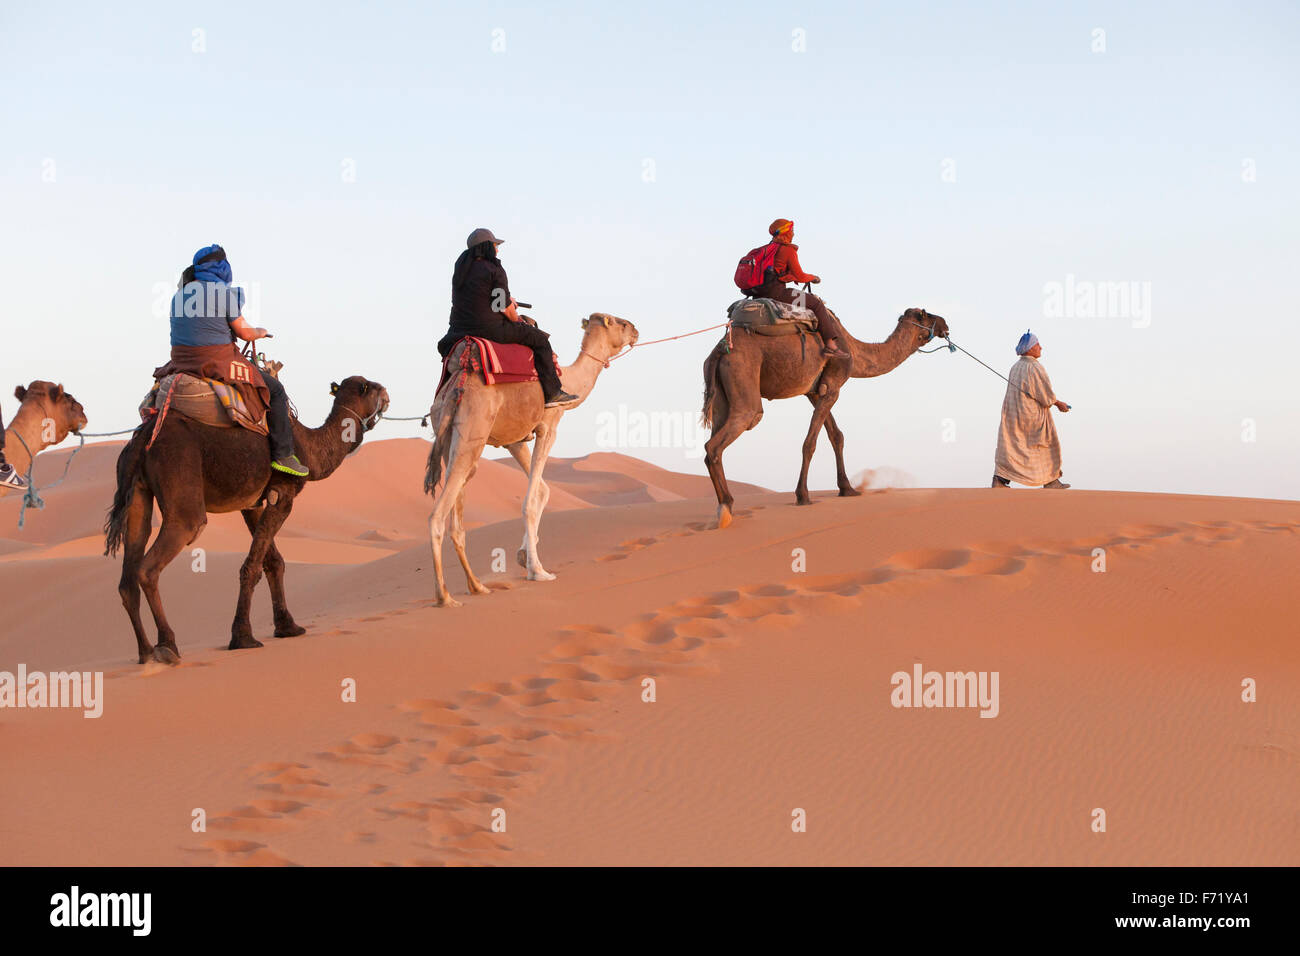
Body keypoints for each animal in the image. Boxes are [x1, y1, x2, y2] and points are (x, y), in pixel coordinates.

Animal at [104, 374, 387, 665]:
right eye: (374, 388)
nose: (387, 395)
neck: (309, 446)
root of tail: (142, 439)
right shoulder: (283, 493)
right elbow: (252, 566)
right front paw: (243, 637)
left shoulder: (253, 503)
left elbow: (274, 561)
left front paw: (288, 626)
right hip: (181, 487)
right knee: (154, 562)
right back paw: (167, 646)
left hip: (137, 493)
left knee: (129, 572)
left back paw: (145, 652)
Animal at [423, 314, 642, 606]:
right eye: (620, 323)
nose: (636, 331)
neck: (569, 381)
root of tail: (454, 386)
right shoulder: (548, 426)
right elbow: (529, 500)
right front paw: (538, 571)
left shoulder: (514, 440)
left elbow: (542, 490)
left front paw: (524, 555)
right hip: (472, 434)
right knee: (438, 515)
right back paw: (444, 596)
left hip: (449, 438)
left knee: (457, 518)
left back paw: (478, 586)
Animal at [707, 308, 951, 530]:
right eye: (926, 314)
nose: (945, 324)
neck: (853, 349)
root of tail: (719, 352)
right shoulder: (833, 386)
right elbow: (810, 443)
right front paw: (803, 496)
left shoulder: (816, 391)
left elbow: (836, 435)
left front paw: (847, 488)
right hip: (743, 382)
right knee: (721, 440)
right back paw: (726, 508)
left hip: (721, 397)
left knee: (713, 441)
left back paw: (724, 509)